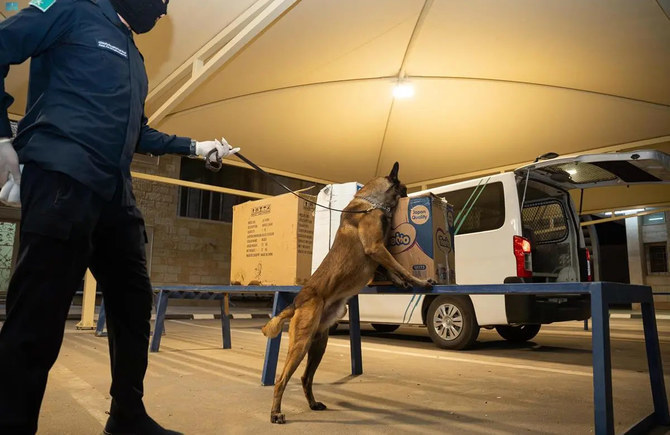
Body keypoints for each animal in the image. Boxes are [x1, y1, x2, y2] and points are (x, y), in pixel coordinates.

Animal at [261, 162, 434, 424]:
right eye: (403, 188)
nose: (410, 196)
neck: (370, 203)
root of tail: (298, 300)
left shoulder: (378, 253)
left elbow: (390, 268)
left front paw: (400, 281)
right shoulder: (375, 247)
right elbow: (399, 266)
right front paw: (419, 281)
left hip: (319, 343)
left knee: (305, 377)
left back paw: (313, 404)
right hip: (301, 343)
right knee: (282, 379)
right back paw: (275, 413)